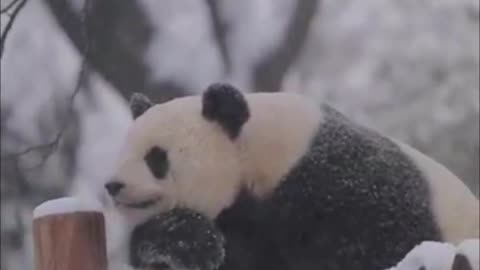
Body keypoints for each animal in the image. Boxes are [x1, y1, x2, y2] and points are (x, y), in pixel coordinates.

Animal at [106, 83, 480, 270]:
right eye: (122, 151)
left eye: (156, 157)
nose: (113, 185)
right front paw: (188, 242)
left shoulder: (342, 184)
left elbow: (372, 247)